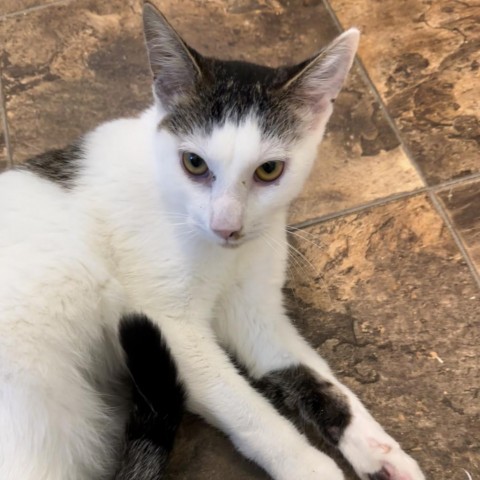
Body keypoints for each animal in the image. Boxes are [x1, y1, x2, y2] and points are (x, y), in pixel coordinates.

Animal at [0, 3, 428, 480]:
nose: (227, 227)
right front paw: (312, 468)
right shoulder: (171, 327)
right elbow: (248, 411)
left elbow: (318, 378)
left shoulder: (256, 312)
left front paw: (379, 451)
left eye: (269, 171)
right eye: (193, 163)